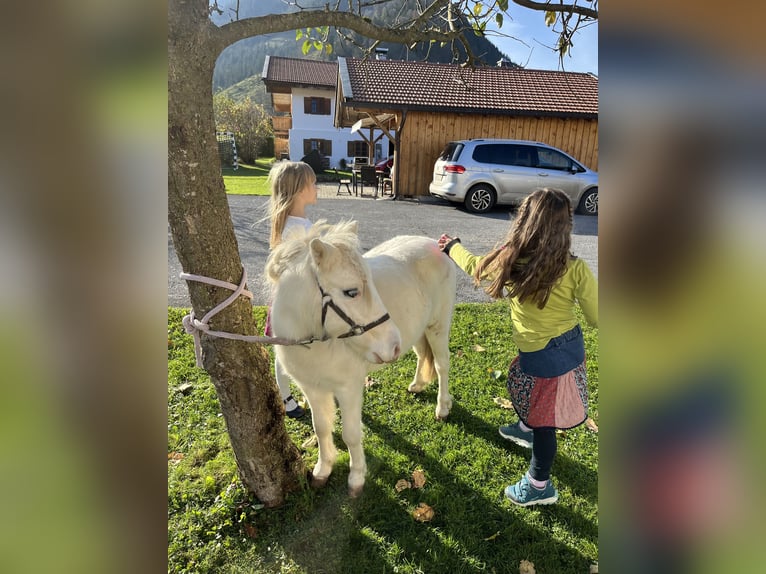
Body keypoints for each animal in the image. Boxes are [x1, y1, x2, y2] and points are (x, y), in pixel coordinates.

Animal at [268, 223, 456, 498]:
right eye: (351, 292)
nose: (393, 345)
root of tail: (436, 245)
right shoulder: (312, 389)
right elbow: (321, 427)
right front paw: (322, 470)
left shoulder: (348, 388)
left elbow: (351, 434)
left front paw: (356, 478)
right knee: (423, 355)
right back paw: (418, 385)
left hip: (438, 326)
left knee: (442, 365)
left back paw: (442, 408)